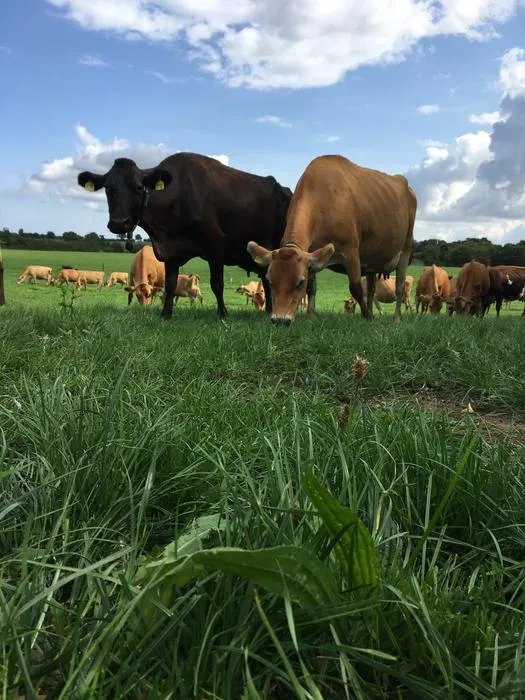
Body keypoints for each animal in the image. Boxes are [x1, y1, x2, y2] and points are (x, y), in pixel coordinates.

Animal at [77, 152, 300, 319]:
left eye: (139, 187)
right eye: (108, 188)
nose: (119, 222)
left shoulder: (215, 246)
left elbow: (217, 283)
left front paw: (222, 313)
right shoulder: (170, 252)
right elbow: (170, 284)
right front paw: (165, 314)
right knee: (267, 278)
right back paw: (269, 309)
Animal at [246, 154, 416, 325]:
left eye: (300, 282)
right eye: (269, 279)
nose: (280, 320)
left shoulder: (351, 251)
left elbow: (355, 287)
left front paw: (368, 316)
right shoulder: (312, 256)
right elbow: (312, 288)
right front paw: (311, 314)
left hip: (406, 247)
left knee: (399, 287)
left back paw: (396, 317)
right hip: (373, 259)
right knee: (372, 288)